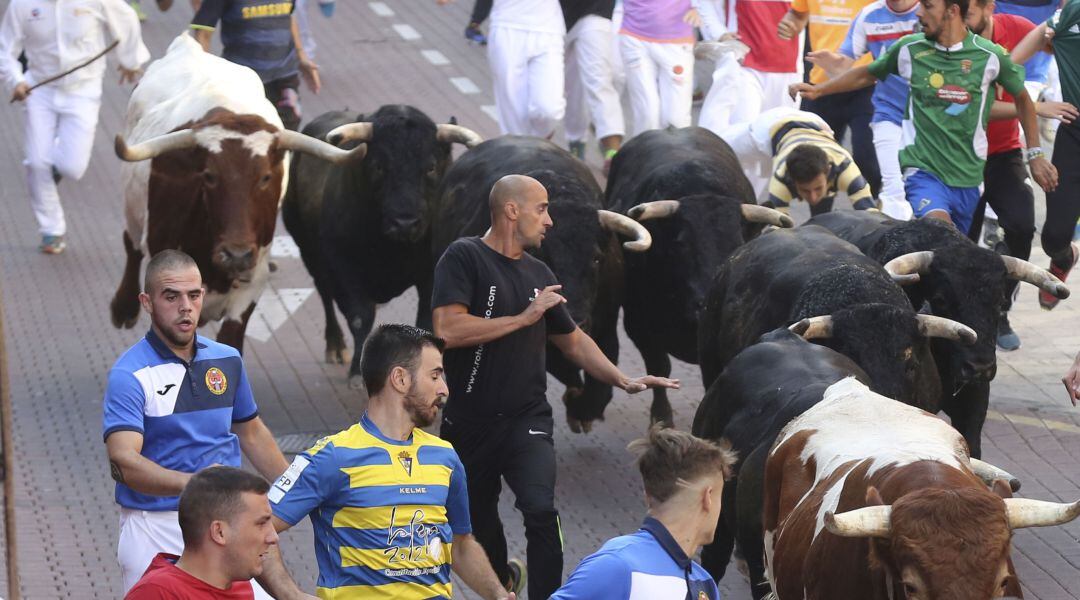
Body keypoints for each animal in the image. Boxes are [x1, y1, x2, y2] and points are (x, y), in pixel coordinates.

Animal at [110, 33, 362, 351]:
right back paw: (123, 308)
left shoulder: (251, 286)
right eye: (208, 176)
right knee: (130, 244)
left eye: (266, 177)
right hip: (133, 211)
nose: (237, 255)